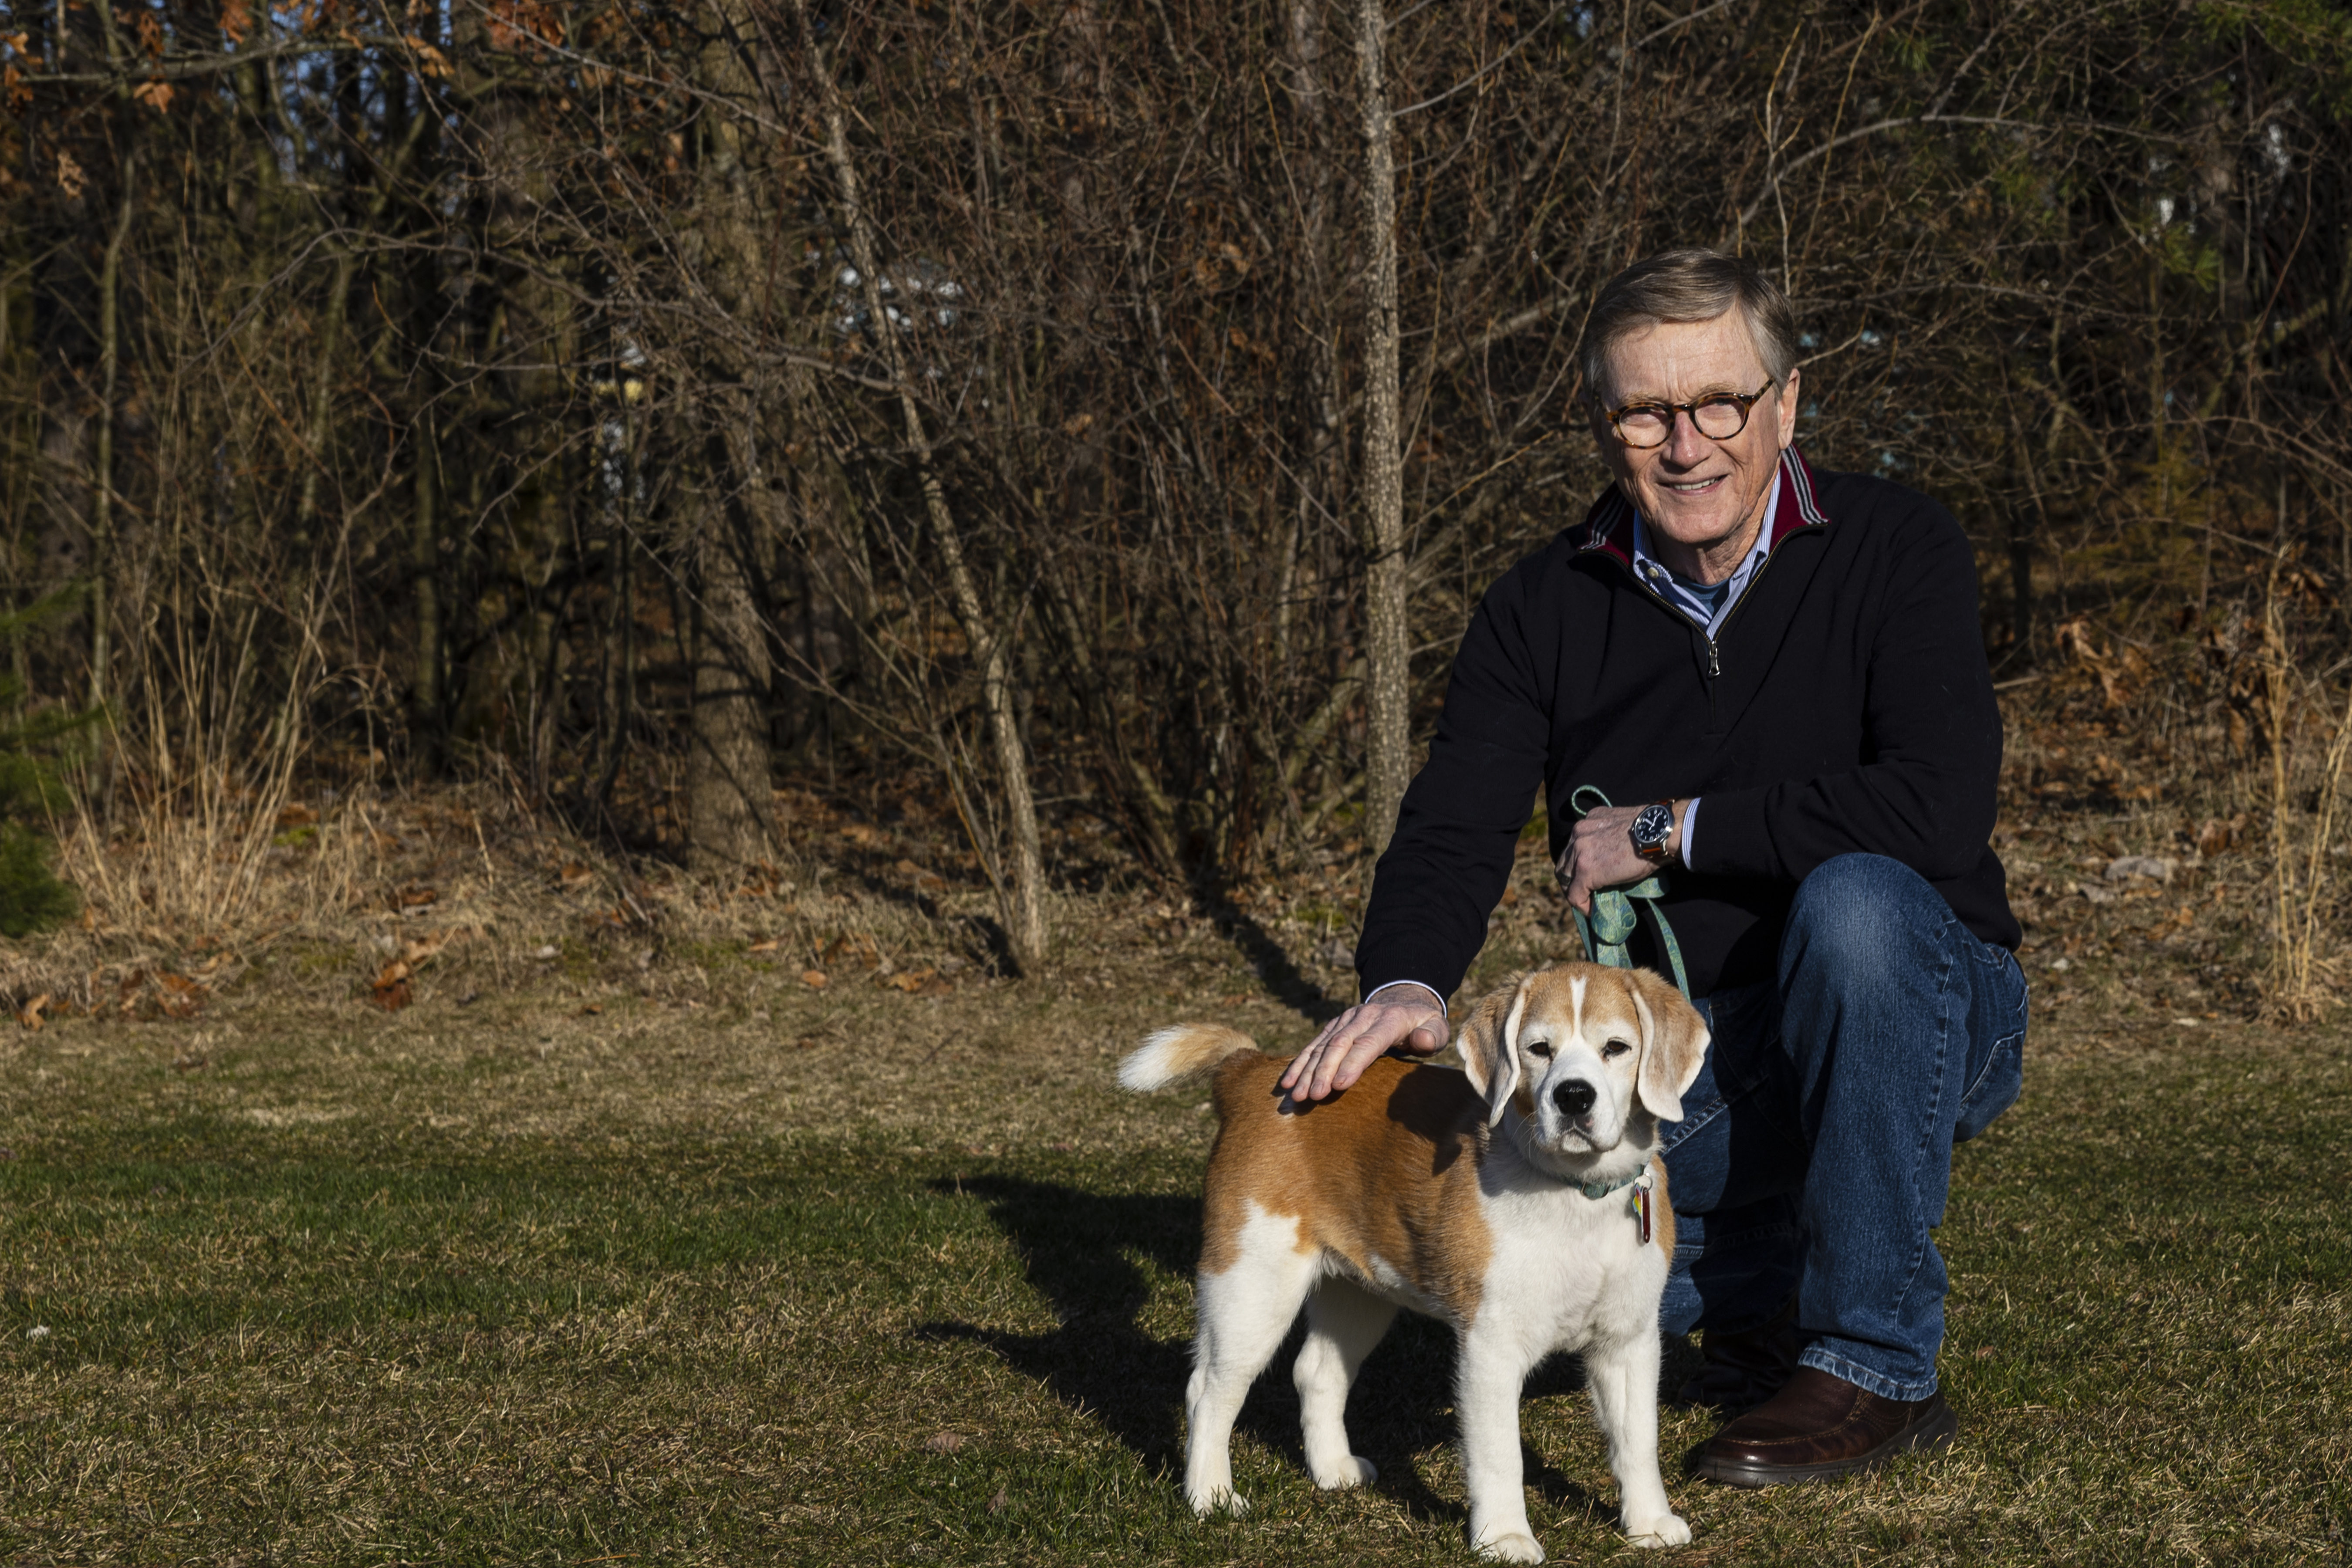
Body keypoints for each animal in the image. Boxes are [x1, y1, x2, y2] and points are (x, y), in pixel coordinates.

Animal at [1119, 963, 1712, 1561]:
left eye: (1616, 1048)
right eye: (1539, 1050)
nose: (1573, 1096)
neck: (1576, 1195)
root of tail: (1254, 1071)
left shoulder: (1629, 1340)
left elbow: (1638, 1440)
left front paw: (1648, 1522)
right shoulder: (1491, 1346)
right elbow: (1500, 1454)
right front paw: (1504, 1536)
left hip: (1359, 1293)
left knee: (1315, 1371)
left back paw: (1331, 1469)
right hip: (1252, 1287)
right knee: (1208, 1390)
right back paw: (1211, 1496)